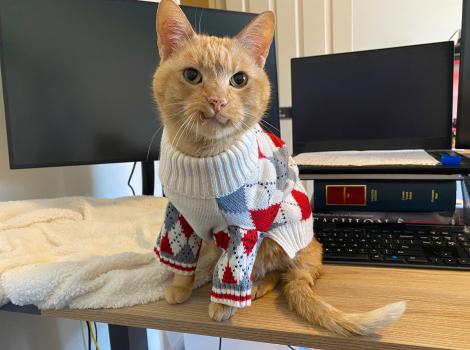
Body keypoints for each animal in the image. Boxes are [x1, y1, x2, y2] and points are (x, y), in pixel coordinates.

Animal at [152, 0, 406, 336]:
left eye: (239, 80)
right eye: (192, 75)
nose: (217, 101)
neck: (204, 157)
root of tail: (314, 257)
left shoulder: (245, 227)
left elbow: (232, 272)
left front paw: (223, 304)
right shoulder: (178, 217)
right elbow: (179, 258)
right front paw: (180, 286)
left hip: (272, 242)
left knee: (278, 275)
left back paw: (256, 286)